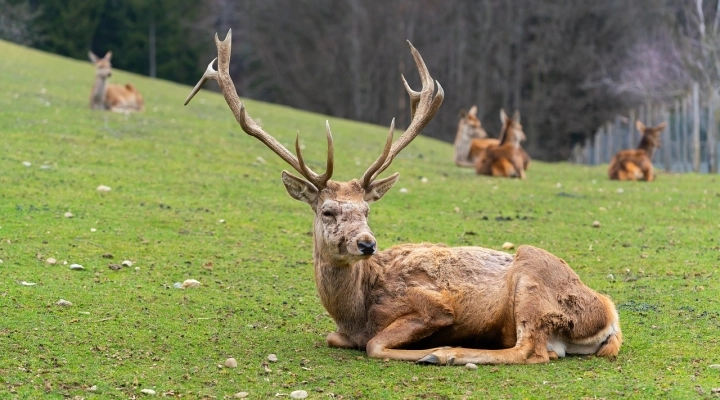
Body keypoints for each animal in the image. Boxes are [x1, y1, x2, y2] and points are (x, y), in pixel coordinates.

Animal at [186, 30, 620, 366]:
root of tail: (610, 315)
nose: (366, 243)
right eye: (327, 211)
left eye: (367, 209)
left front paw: (427, 349)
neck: (355, 311)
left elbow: (376, 344)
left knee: (530, 350)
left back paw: (444, 354)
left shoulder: (433, 305)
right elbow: (335, 338)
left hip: (532, 278)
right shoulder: (341, 331)